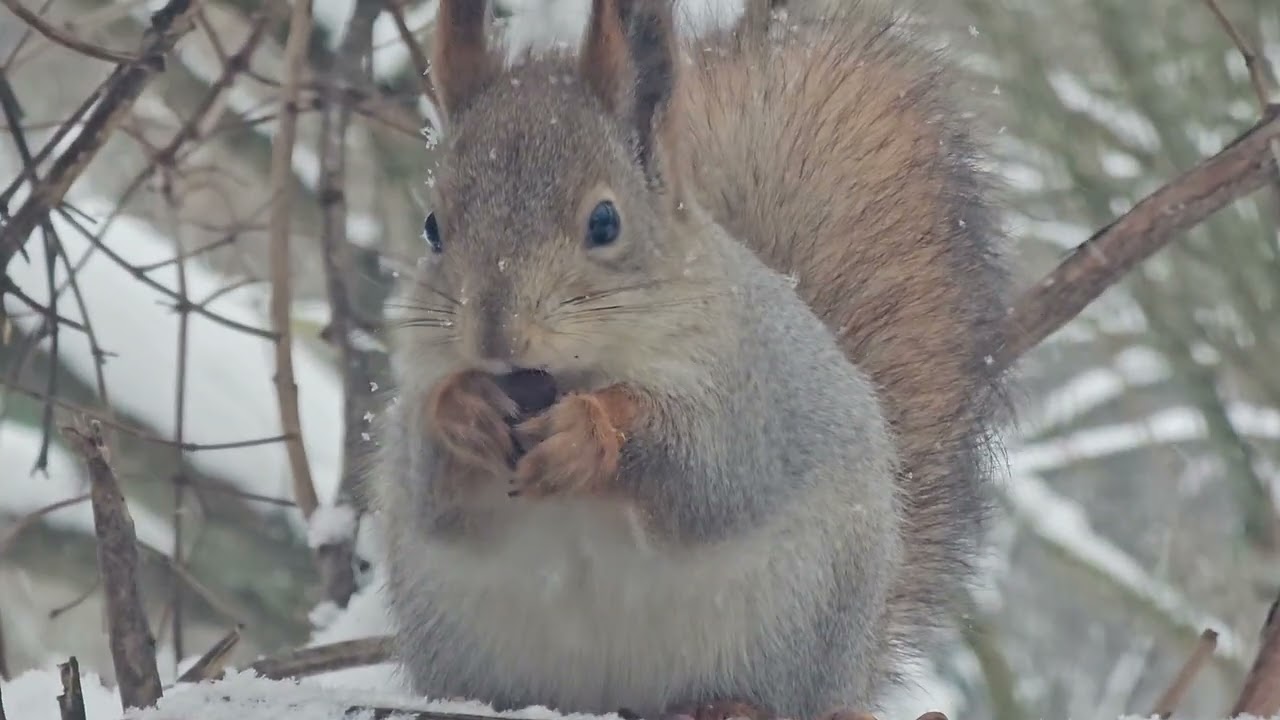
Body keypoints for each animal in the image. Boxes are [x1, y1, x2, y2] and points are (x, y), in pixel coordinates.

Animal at [365, 1, 1010, 719]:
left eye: (605, 222)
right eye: (432, 228)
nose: (495, 337)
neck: (578, 370)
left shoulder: (747, 391)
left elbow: (704, 469)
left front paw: (591, 431)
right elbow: (431, 492)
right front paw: (463, 411)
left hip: (796, 633)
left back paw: (726, 704)